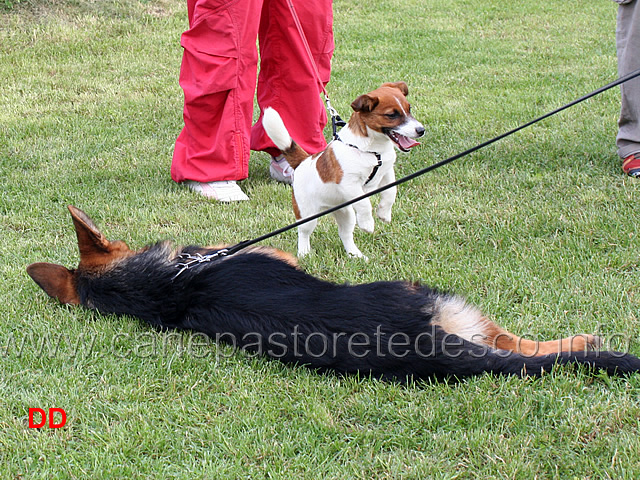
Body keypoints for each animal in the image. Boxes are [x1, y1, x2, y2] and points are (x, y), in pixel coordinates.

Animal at [262, 81, 422, 258]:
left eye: (409, 109)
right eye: (392, 115)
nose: (421, 130)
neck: (373, 150)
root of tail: (303, 162)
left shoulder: (386, 172)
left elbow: (390, 193)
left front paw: (384, 213)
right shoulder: (349, 183)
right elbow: (364, 203)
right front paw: (367, 223)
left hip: (345, 213)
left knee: (345, 234)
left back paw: (355, 254)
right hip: (307, 213)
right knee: (303, 232)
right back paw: (304, 253)